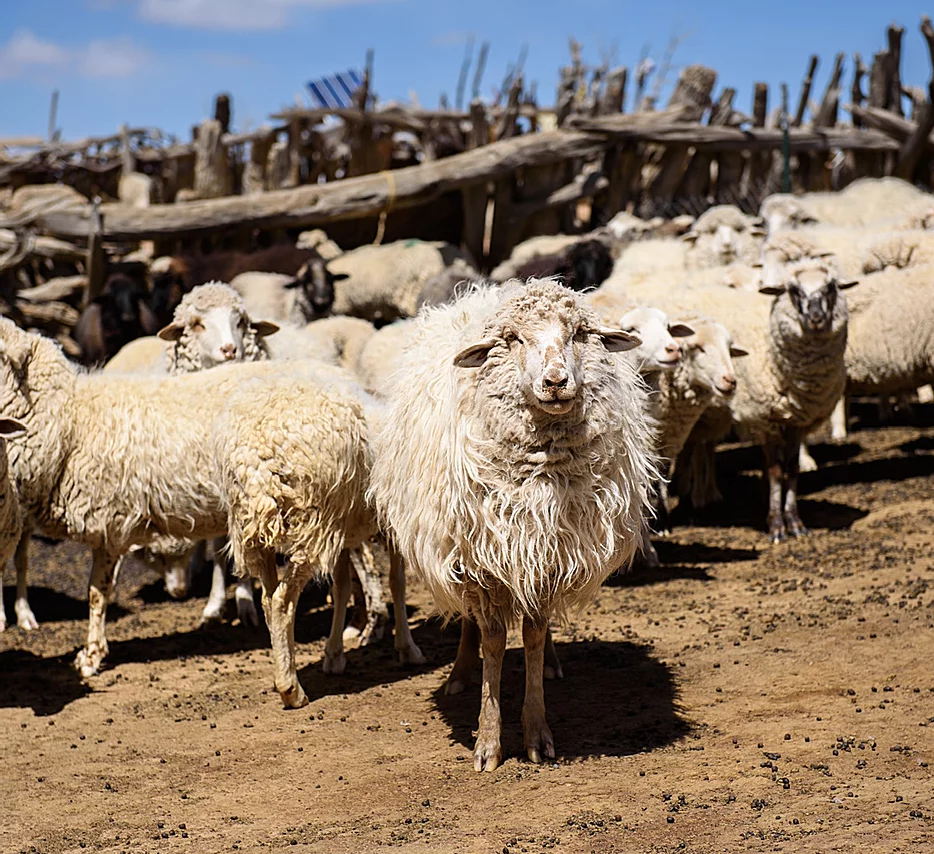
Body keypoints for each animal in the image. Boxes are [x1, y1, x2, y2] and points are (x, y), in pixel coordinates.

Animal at [370, 278, 658, 770]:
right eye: (512, 339)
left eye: (580, 333)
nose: (556, 381)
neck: (542, 472)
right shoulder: (483, 558)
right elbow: (491, 642)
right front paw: (488, 740)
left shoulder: (547, 551)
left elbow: (535, 635)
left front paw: (537, 731)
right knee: (471, 621)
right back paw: (460, 673)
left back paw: (554, 663)